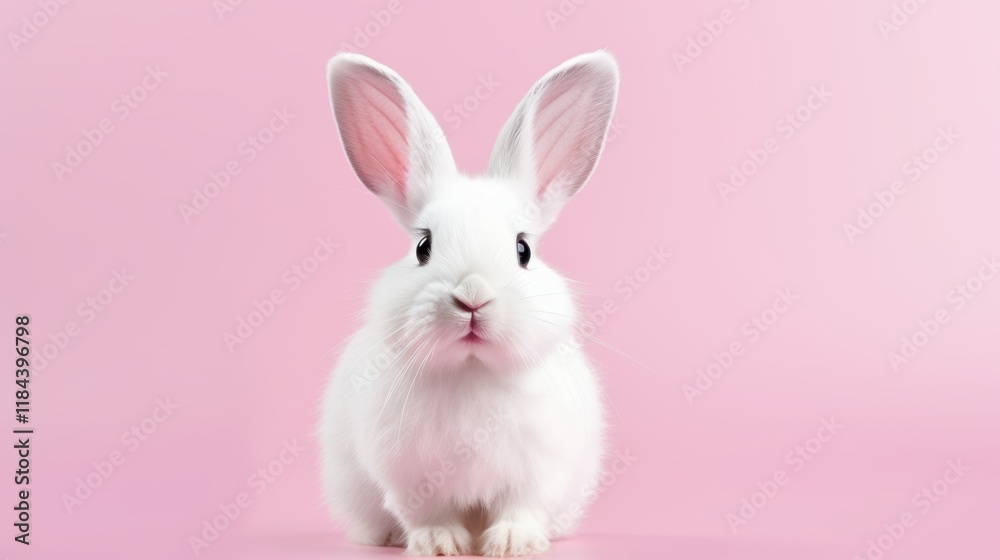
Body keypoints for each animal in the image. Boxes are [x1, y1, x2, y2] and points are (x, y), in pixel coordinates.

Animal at [318, 50, 619, 557]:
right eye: (423, 247)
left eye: (523, 249)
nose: (473, 297)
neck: (472, 370)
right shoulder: (408, 477)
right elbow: (427, 512)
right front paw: (440, 543)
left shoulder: (539, 472)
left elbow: (522, 507)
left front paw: (513, 542)